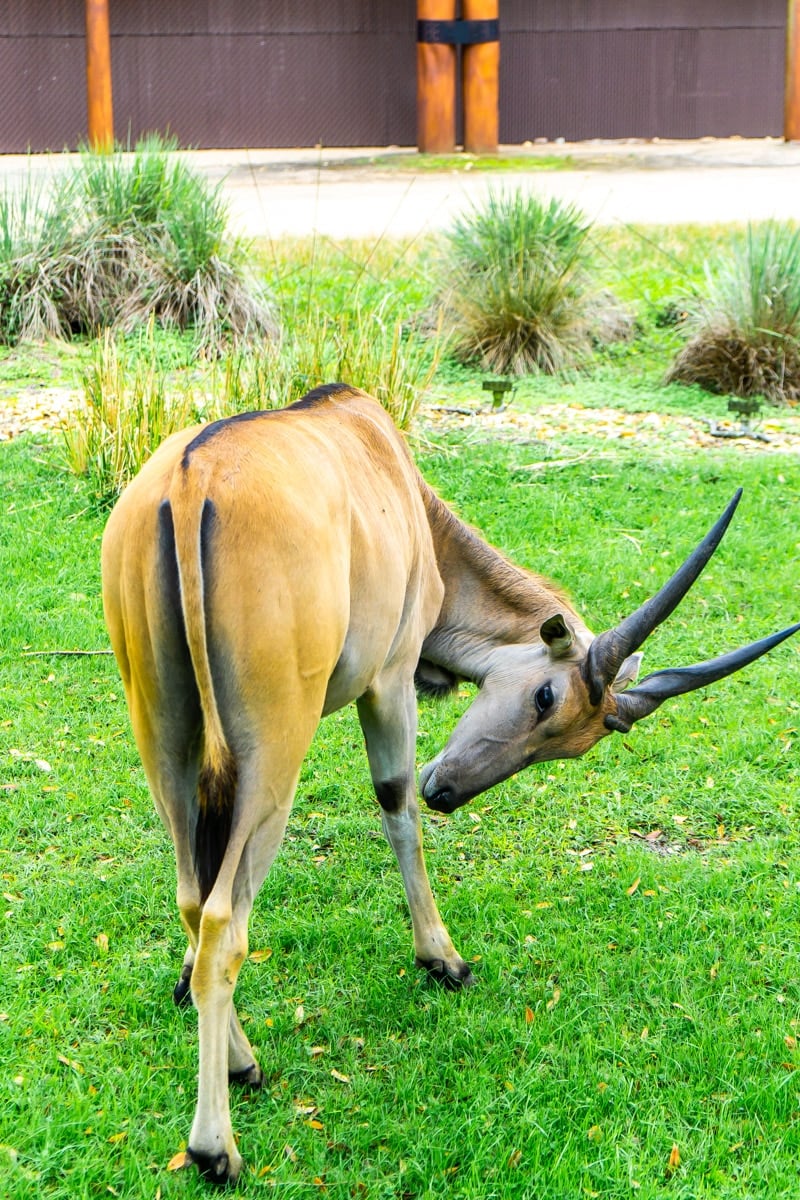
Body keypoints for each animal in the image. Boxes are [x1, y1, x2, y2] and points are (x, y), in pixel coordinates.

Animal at [103, 384, 796, 1180]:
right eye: (545, 697)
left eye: (570, 746)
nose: (448, 791)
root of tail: (193, 483)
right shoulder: (391, 679)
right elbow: (393, 804)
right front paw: (442, 958)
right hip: (275, 752)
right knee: (225, 922)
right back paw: (218, 1139)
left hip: (165, 735)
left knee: (194, 896)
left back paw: (231, 1052)